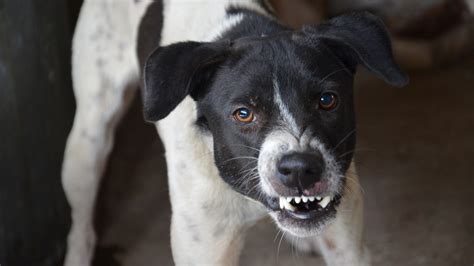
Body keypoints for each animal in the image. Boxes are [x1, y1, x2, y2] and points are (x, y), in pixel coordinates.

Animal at [60, 1, 408, 264]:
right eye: (243, 113)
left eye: (327, 100)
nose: (300, 169)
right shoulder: (205, 249)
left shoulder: (348, 247)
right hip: (88, 140)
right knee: (81, 224)